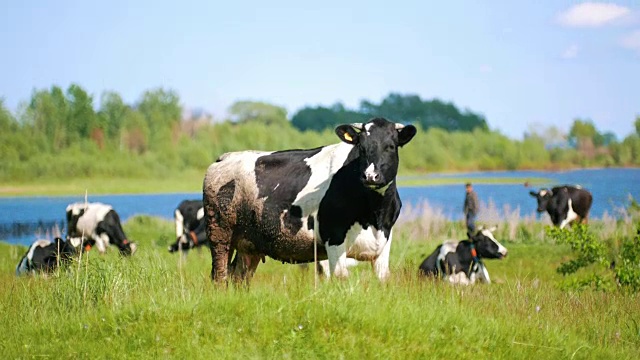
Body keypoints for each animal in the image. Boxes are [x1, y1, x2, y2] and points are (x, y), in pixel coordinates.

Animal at [202, 116, 418, 282]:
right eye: (361, 148)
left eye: (390, 146)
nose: (370, 176)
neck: (374, 214)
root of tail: (225, 157)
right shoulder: (334, 237)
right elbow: (341, 278)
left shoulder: (384, 239)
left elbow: (383, 278)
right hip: (220, 233)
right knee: (220, 275)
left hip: (250, 242)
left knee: (239, 276)